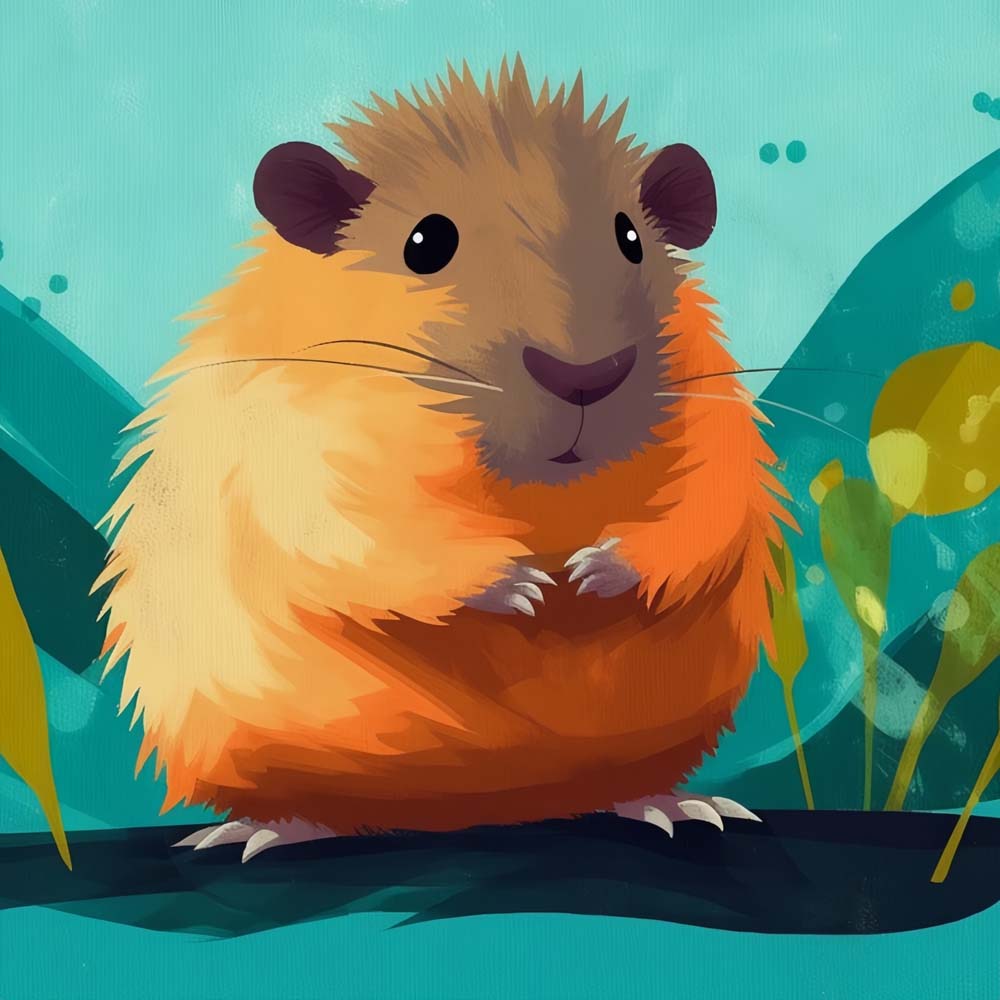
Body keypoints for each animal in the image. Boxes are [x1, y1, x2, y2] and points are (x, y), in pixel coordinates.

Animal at [95, 58, 789, 860]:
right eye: (426, 243)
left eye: (631, 239)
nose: (587, 377)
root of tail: (473, 812)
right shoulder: (291, 442)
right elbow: (359, 536)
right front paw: (520, 585)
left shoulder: (716, 416)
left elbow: (706, 513)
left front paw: (597, 570)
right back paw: (260, 831)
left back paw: (677, 805)